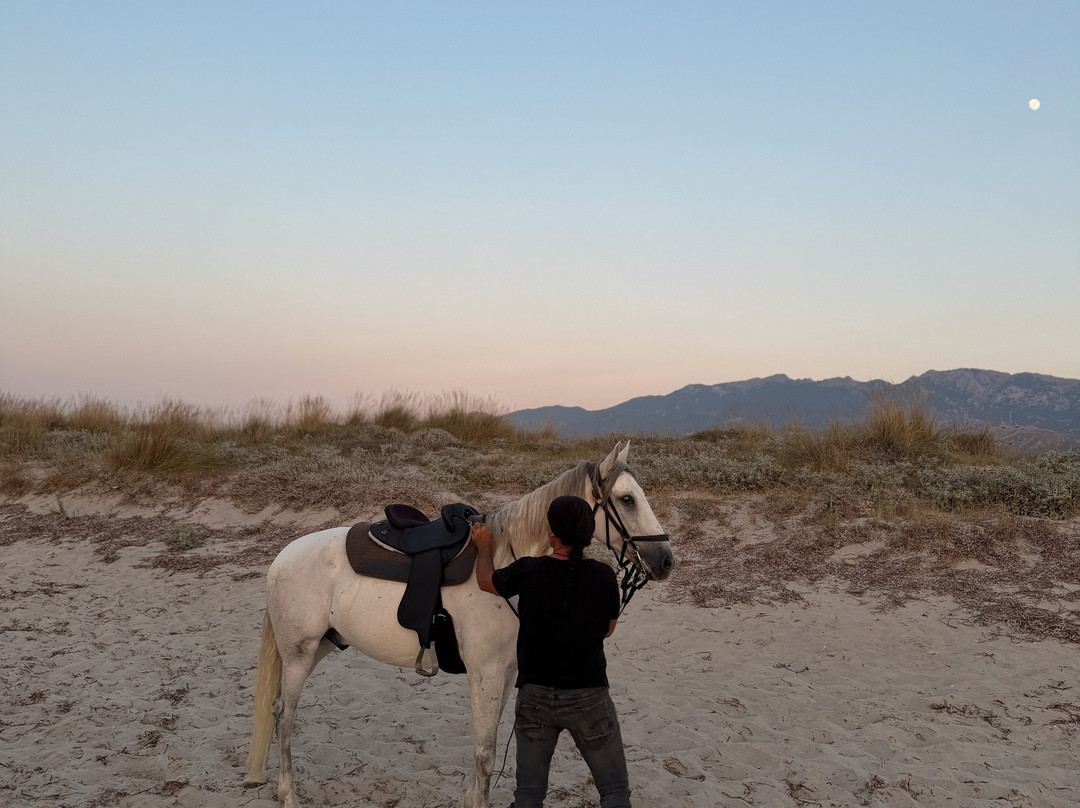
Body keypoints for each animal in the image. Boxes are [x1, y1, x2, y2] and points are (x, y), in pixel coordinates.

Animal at [243, 441, 675, 808]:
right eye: (627, 499)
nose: (666, 560)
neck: (505, 563)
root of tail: (283, 556)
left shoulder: (504, 672)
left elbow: (488, 745)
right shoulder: (485, 672)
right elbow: (485, 753)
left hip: (320, 646)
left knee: (279, 710)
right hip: (299, 654)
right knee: (285, 716)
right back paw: (288, 796)